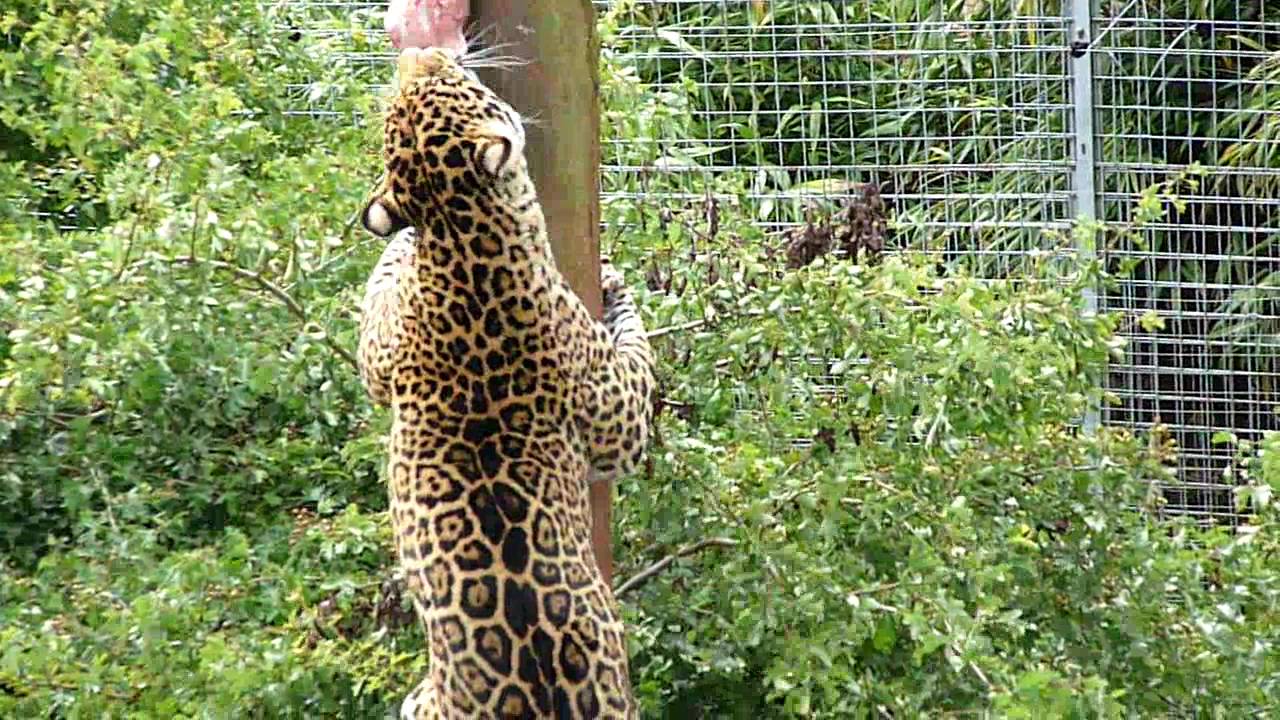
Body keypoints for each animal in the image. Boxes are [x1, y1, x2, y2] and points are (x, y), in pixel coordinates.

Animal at [354, 46, 654, 720]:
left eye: (427, 89)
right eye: (452, 83)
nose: (423, 53)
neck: (461, 233)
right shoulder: (616, 413)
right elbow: (636, 358)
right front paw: (617, 287)